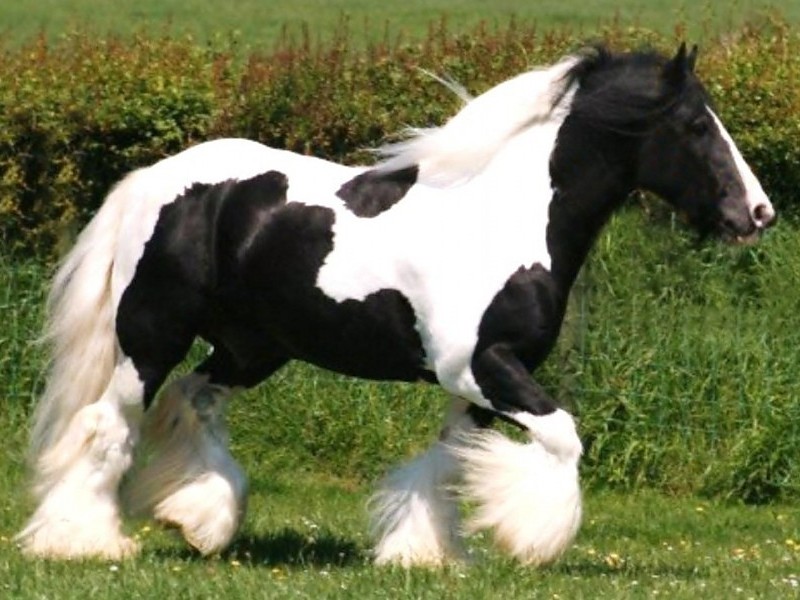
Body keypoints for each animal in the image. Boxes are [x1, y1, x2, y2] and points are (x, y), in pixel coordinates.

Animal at [16, 43, 775, 566]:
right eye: (695, 126)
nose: (758, 213)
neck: (506, 222)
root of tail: (155, 178)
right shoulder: (484, 368)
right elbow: (563, 437)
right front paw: (532, 537)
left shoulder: (481, 383)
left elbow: (448, 464)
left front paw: (424, 554)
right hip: (152, 335)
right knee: (108, 425)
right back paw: (84, 541)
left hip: (252, 347)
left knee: (194, 400)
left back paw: (200, 521)